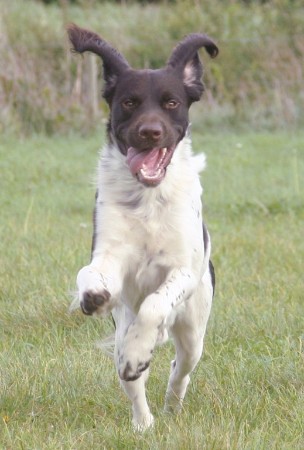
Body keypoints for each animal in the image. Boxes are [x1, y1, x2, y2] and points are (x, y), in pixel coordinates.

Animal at [67, 23, 217, 428]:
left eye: (172, 103)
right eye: (129, 103)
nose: (150, 132)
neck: (148, 200)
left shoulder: (183, 270)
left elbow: (154, 304)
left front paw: (140, 351)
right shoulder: (110, 255)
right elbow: (89, 273)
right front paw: (93, 296)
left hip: (194, 328)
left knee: (181, 367)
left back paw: (171, 405)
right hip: (124, 329)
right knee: (131, 380)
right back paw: (144, 424)